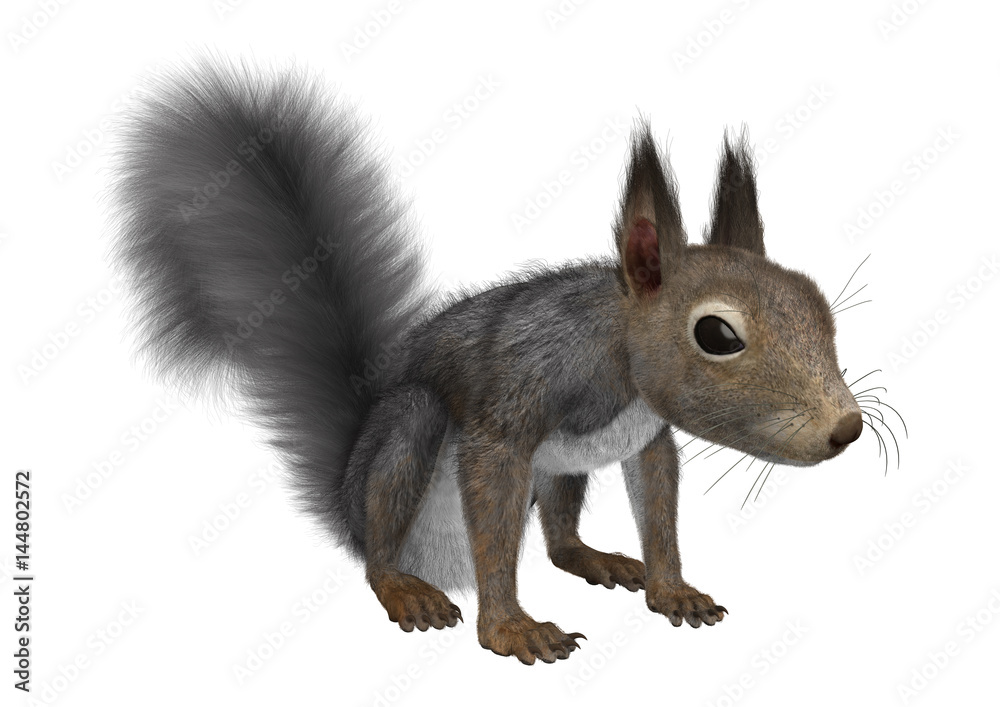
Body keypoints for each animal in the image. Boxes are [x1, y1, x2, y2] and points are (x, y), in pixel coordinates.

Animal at [109, 57, 868, 665]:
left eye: (818, 304)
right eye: (715, 333)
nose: (848, 428)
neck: (621, 365)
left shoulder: (647, 440)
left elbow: (659, 510)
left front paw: (672, 589)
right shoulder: (512, 408)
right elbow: (496, 522)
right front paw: (510, 629)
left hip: (560, 470)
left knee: (557, 540)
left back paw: (593, 556)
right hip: (407, 435)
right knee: (380, 549)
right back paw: (403, 587)